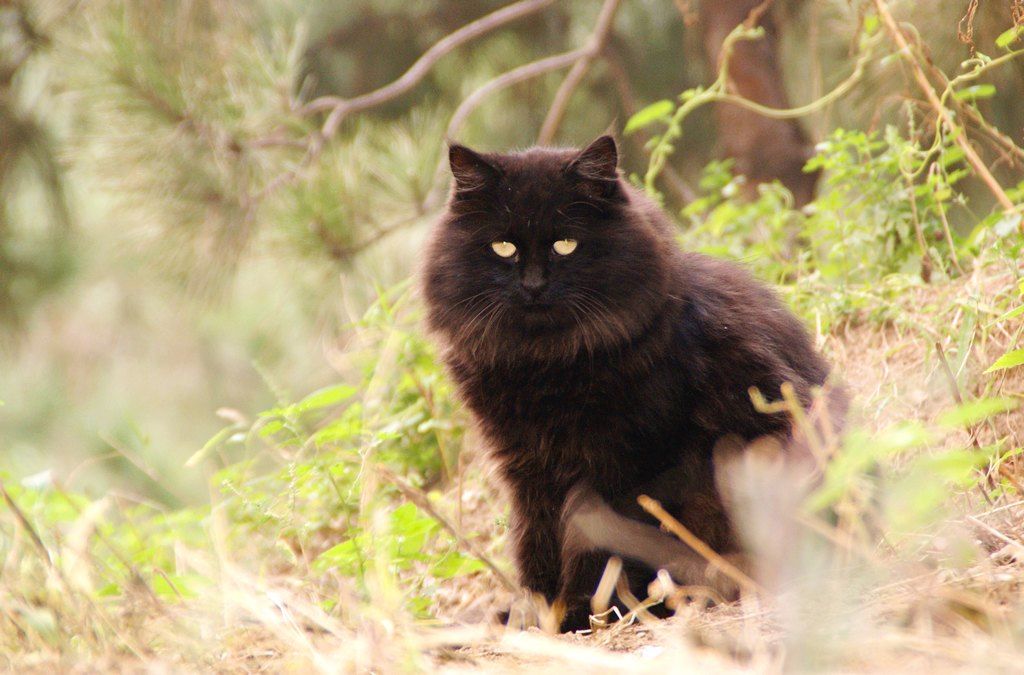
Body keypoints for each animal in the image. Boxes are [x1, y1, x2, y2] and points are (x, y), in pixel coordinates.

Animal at [419, 134, 843, 630]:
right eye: (503, 247)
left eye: (566, 244)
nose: (534, 285)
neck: (546, 364)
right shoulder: (530, 469)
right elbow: (536, 543)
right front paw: (536, 611)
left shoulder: (622, 465)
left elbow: (596, 547)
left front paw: (581, 612)